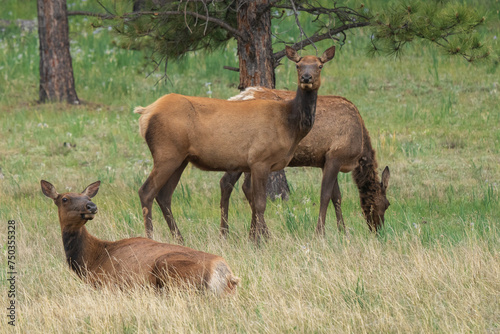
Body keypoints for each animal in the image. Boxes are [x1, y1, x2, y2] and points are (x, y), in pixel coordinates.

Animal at [41, 180, 240, 292]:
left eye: (87, 197)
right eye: (64, 199)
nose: (91, 206)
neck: (91, 260)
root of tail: (226, 276)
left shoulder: (105, 283)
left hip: (169, 270)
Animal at [135, 45, 334, 243]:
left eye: (319, 65)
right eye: (298, 65)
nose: (306, 78)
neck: (289, 124)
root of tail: (145, 113)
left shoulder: (250, 163)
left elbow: (252, 198)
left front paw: (255, 237)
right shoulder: (260, 159)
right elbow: (260, 203)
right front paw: (261, 241)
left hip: (181, 158)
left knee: (164, 195)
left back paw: (180, 239)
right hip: (166, 153)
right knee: (146, 191)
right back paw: (151, 237)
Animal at [222, 87, 390, 236]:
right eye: (387, 204)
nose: (380, 231)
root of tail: (237, 97)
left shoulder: (325, 161)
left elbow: (336, 196)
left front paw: (343, 231)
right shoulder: (335, 156)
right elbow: (325, 195)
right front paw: (320, 233)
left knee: (227, 183)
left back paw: (230, 234)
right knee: (243, 187)